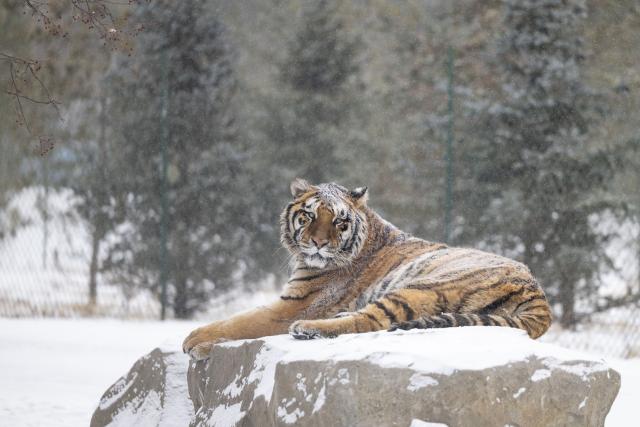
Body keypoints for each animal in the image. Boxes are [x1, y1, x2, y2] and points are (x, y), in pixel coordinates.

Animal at [183, 179, 552, 360]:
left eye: (339, 221)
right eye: (309, 215)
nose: (318, 244)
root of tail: (539, 296)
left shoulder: (295, 305)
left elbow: (240, 321)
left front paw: (194, 339)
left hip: (423, 287)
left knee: (369, 321)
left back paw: (308, 329)